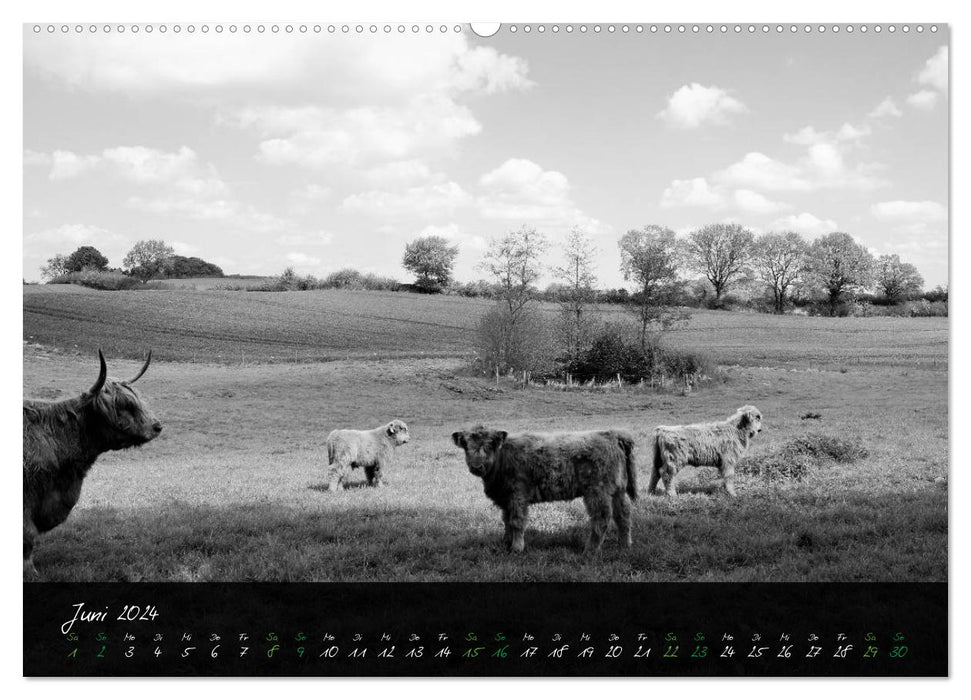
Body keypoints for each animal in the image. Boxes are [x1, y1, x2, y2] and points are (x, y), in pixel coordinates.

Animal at [450, 424, 636, 556]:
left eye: (489, 445)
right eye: (466, 446)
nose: (476, 466)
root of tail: (611, 433)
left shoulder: (517, 494)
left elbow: (516, 521)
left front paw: (517, 548)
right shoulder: (506, 498)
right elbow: (506, 521)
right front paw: (506, 542)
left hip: (597, 491)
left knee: (602, 518)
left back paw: (590, 550)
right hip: (617, 490)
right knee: (623, 515)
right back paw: (624, 545)